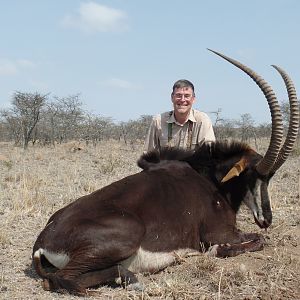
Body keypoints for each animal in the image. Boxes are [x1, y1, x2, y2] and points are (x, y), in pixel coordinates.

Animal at [31, 49, 298, 296]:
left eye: (270, 178)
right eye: (252, 175)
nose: (267, 219)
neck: (211, 180)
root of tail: (42, 243)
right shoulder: (221, 233)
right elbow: (258, 241)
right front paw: (217, 250)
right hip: (128, 233)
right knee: (59, 279)